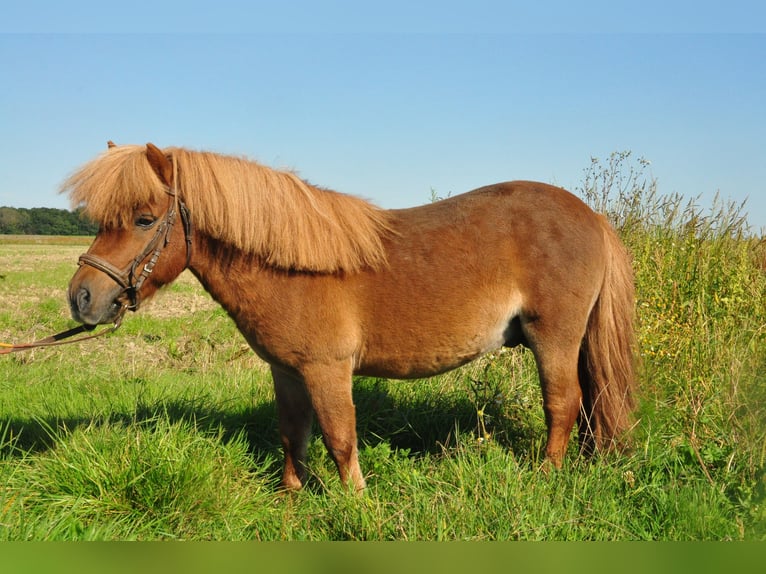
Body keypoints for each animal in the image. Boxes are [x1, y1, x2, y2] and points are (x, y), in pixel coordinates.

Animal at [63, 143, 640, 490]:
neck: (291, 265)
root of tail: (591, 215)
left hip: (554, 339)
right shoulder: (287, 372)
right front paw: (292, 500)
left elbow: (340, 439)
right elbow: (293, 436)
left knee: (563, 405)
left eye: (144, 219)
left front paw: (355, 505)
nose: (82, 298)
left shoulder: (328, 370)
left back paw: (546, 476)